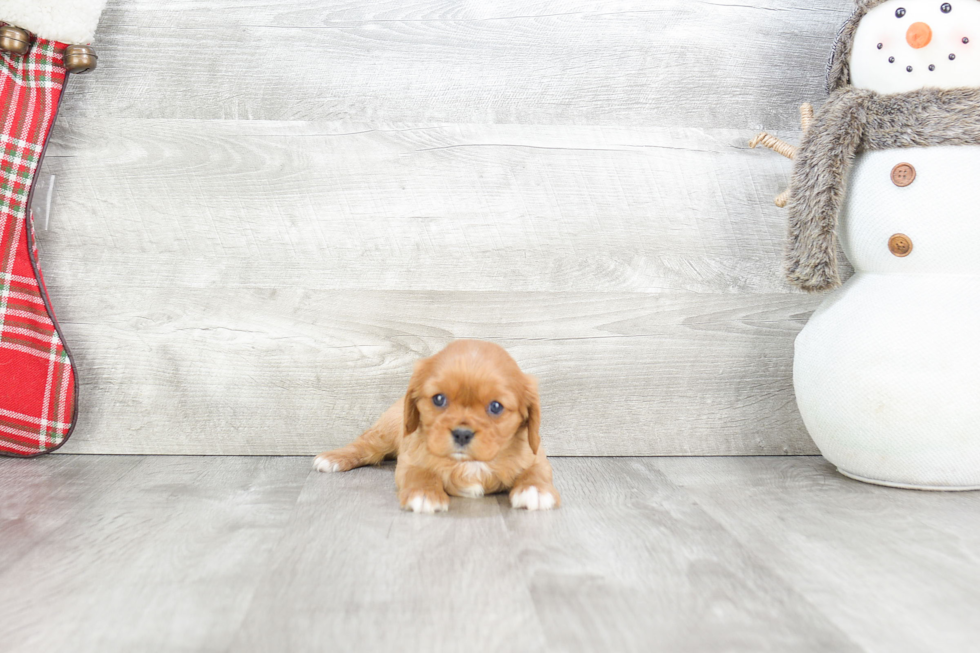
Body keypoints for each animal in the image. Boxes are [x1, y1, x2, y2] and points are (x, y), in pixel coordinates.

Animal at [314, 338, 560, 512]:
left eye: (496, 406)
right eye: (439, 399)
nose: (462, 434)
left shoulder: (535, 454)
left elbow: (536, 471)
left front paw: (535, 490)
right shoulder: (410, 458)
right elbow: (420, 473)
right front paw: (424, 494)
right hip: (386, 430)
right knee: (365, 445)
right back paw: (334, 458)